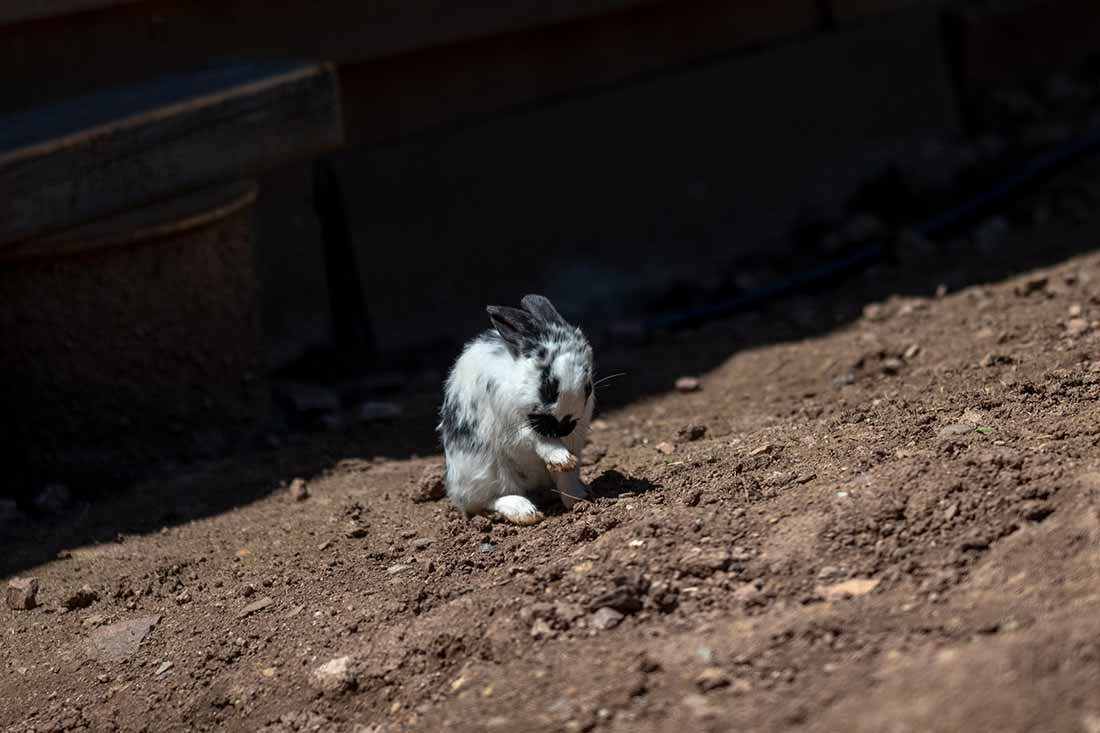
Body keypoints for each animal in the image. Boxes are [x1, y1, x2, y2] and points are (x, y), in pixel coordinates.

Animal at [438, 294, 595, 525]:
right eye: (548, 387)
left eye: (588, 387)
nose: (563, 427)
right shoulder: (516, 427)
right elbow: (540, 441)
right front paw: (562, 459)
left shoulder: (574, 438)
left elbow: (566, 475)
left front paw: (578, 498)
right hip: (482, 473)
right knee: (488, 500)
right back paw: (524, 511)